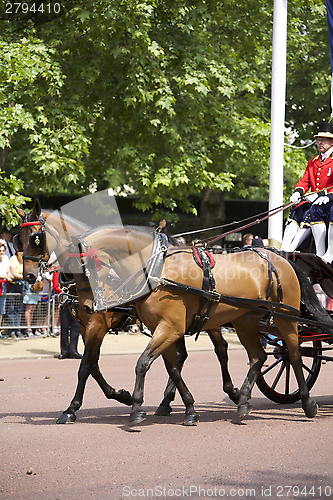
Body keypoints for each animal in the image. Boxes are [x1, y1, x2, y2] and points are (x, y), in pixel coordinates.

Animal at [63, 225, 320, 424]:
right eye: (68, 273)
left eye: (83, 269)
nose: (87, 306)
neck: (157, 269)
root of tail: (280, 257)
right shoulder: (162, 328)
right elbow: (172, 368)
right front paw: (188, 408)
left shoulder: (168, 327)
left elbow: (140, 363)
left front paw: (135, 407)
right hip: (243, 321)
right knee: (258, 356)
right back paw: (243, 400)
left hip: (285, 318)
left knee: (293, 355)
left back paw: (307, 403)